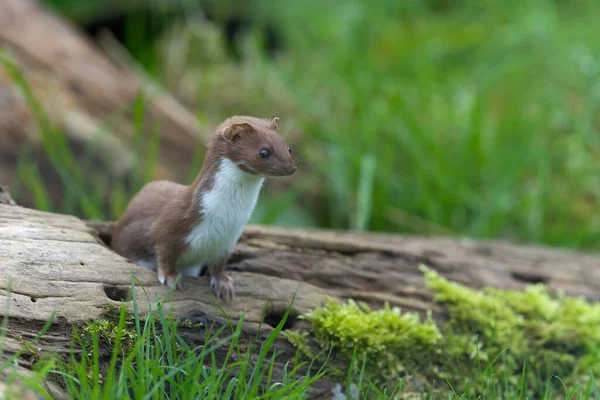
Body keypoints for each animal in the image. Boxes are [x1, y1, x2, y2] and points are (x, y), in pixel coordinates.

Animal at [110, 115, 298, 300]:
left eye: (288, 148)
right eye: (264, 152)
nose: (291, 168)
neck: (226, 217)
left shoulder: (227, 241)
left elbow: (218, 264)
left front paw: (223, 283)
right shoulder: (171, 225)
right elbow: (165, 252)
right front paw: (170, 277)